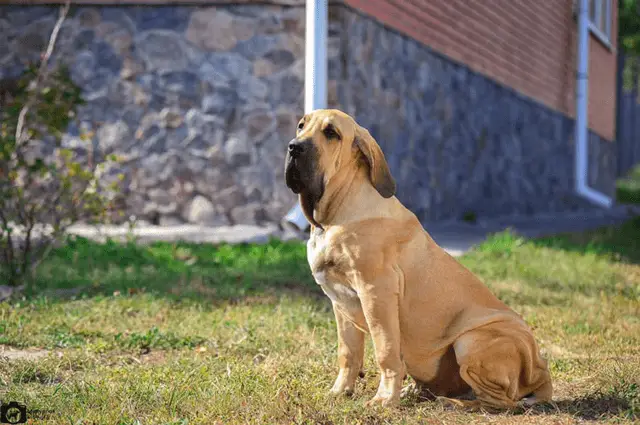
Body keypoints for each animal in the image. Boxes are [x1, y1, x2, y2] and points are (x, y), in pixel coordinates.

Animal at [282, 108, 552, 408]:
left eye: (331, 133)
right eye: (301, 126)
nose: (294, 147)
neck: (334, 215)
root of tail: (541, 373)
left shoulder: (377, 293)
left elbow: (386, 351)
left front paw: (384, 399)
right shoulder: (340, 303)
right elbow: (348, 353)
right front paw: (341, 391)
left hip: (470, 340)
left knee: (500, 401)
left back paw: (454, 403)